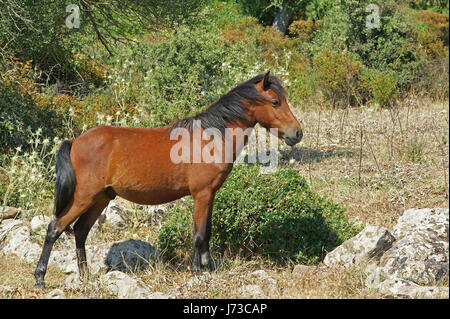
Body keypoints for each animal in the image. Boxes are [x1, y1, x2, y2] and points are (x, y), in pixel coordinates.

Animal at [34, 71, 302, 288]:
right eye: (276, 102)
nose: (297, 133)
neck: (210, 137)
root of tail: (75, 141)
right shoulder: (202, 194)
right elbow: (199, 235)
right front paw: (197, 272)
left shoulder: (210, 194)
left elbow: (207, 231)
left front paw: (207, 268)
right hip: (83, 197)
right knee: (55, 228)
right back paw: (40, 278)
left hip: (100, 198)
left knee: (80, 231)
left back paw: (85, 276)